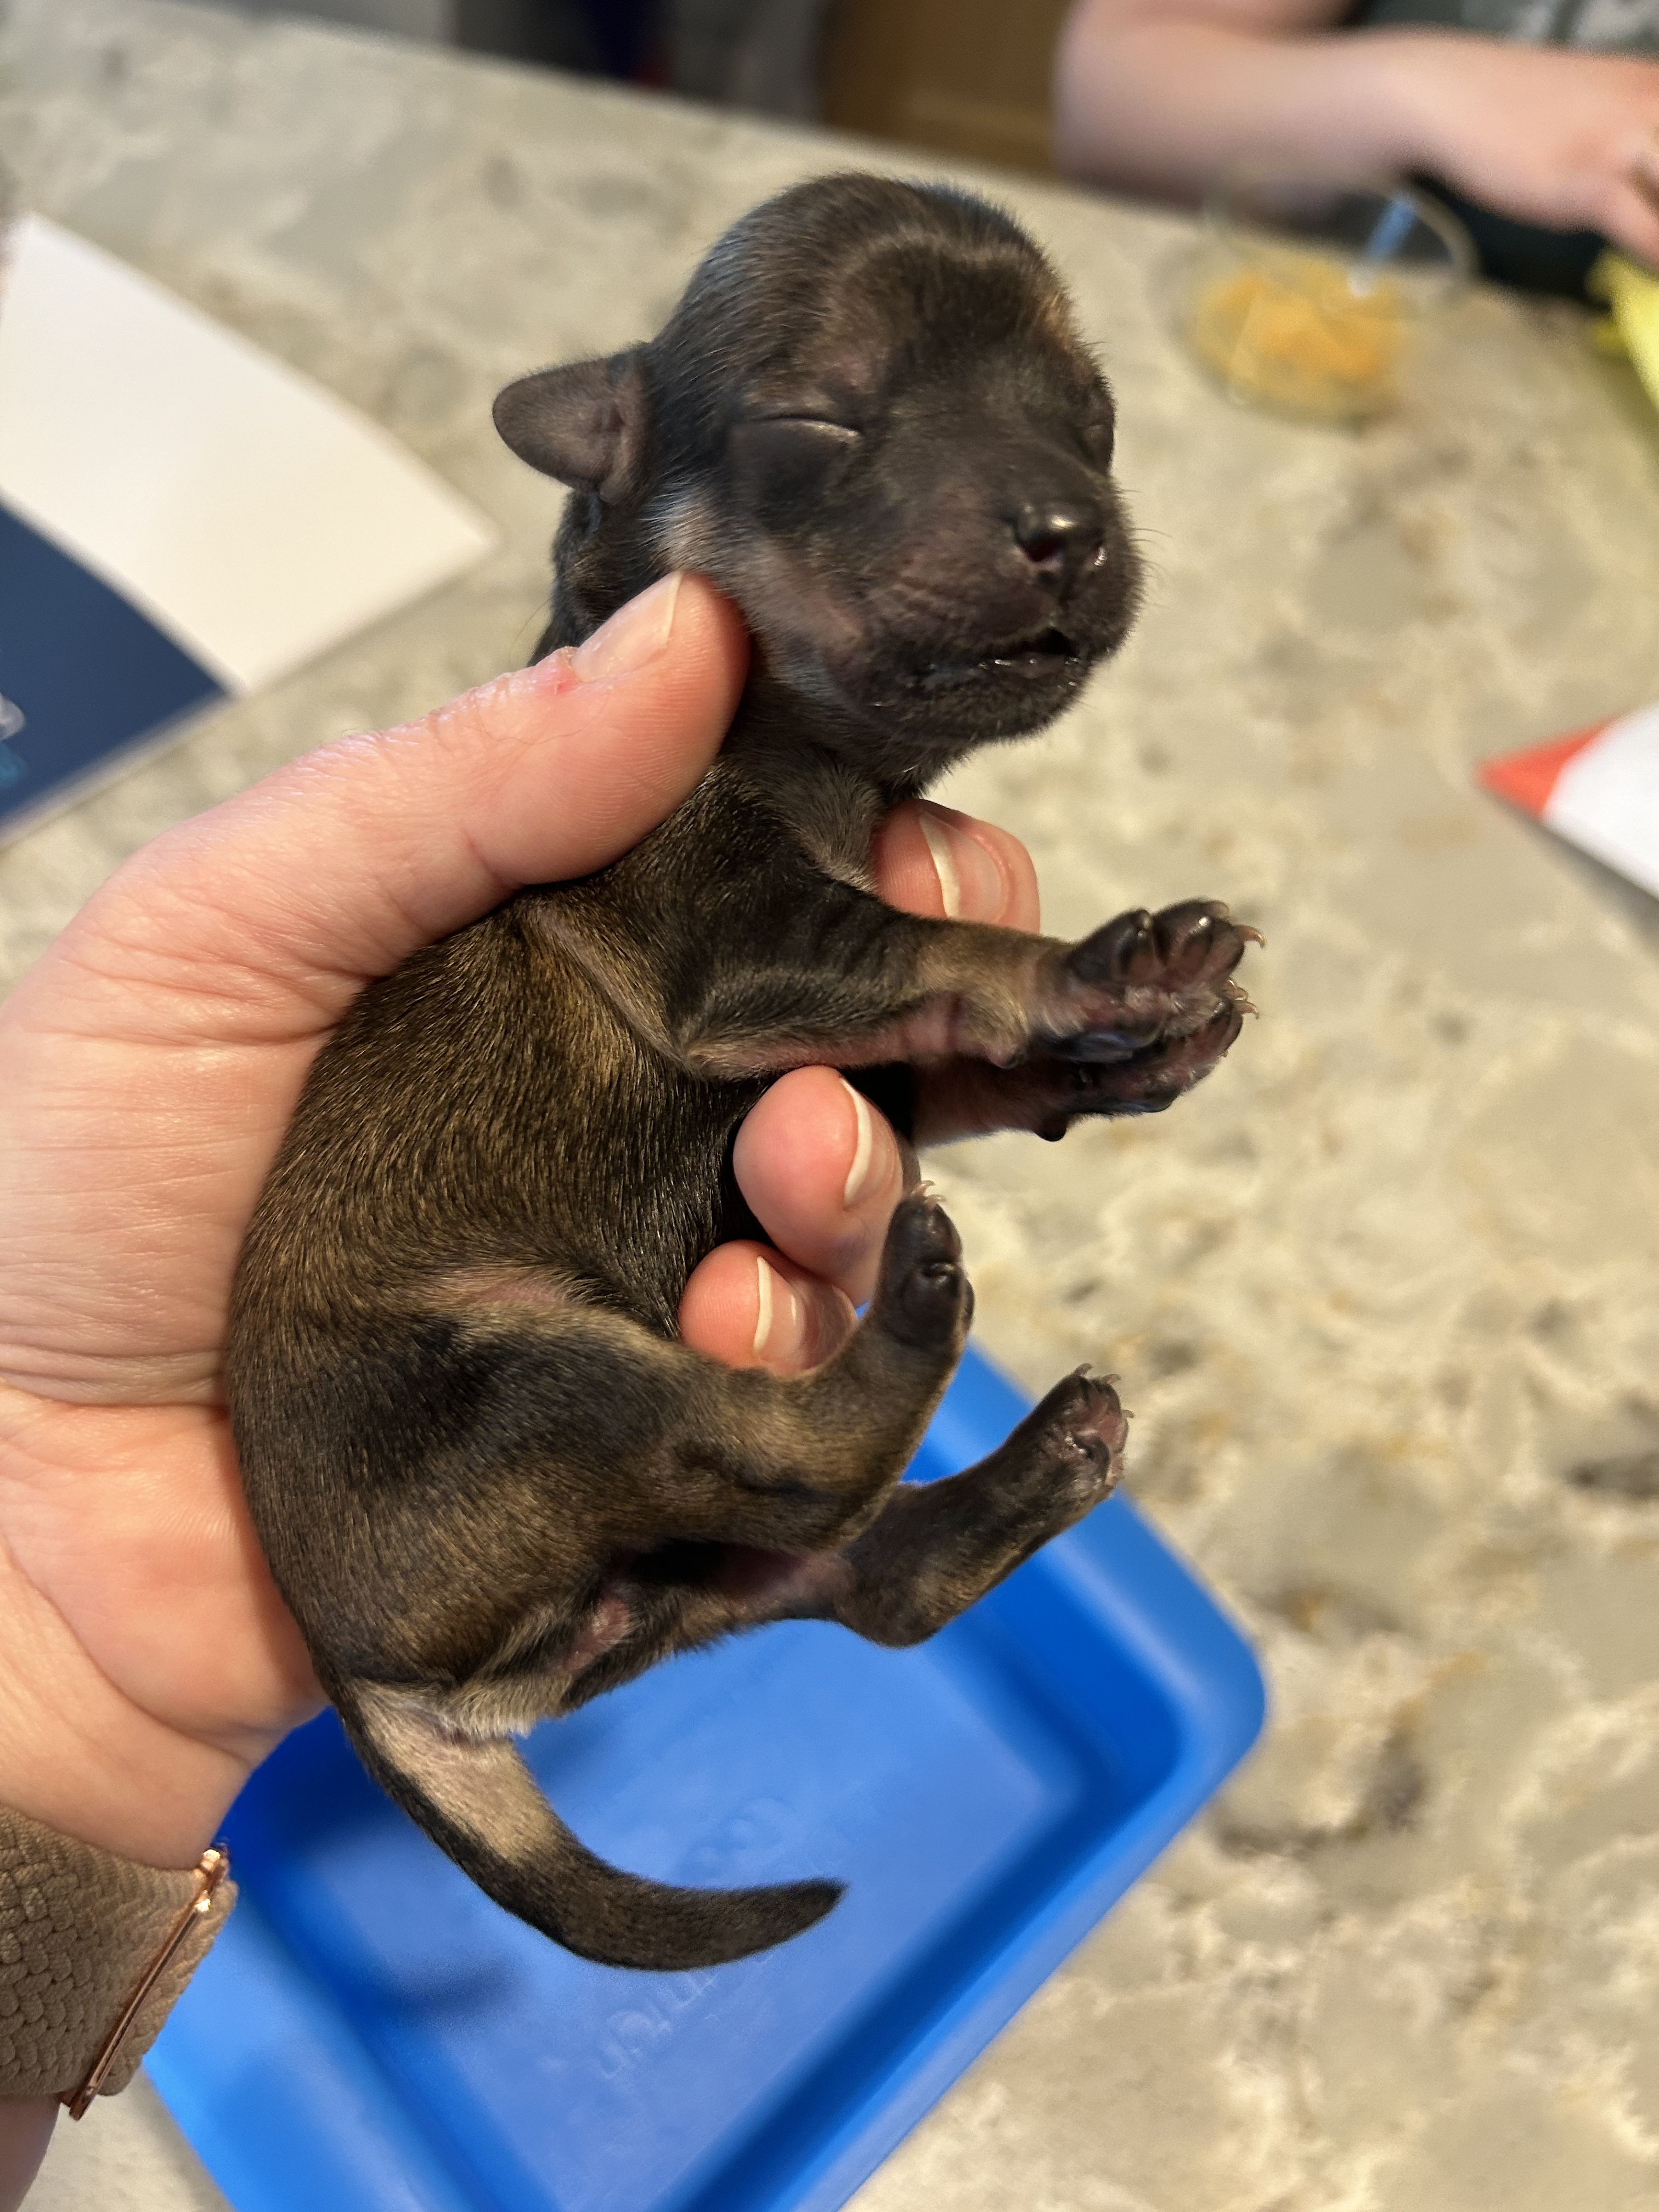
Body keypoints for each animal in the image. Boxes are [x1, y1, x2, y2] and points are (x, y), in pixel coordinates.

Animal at [227, 174, 1255, 1973]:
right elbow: (939, 952)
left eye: (1097, 420)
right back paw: (918, 1314)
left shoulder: (877, 1065)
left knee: (857, 1577)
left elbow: (966, 1059)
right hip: (522, 1386)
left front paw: (1143, 1048)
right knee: (790, 1459)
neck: (836, 770)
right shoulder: (729, 939)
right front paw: (1105, 969)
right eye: (817, 426)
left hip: (681, 1584)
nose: (1067, 525)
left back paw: (1034, 1464)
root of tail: (378, 1692)